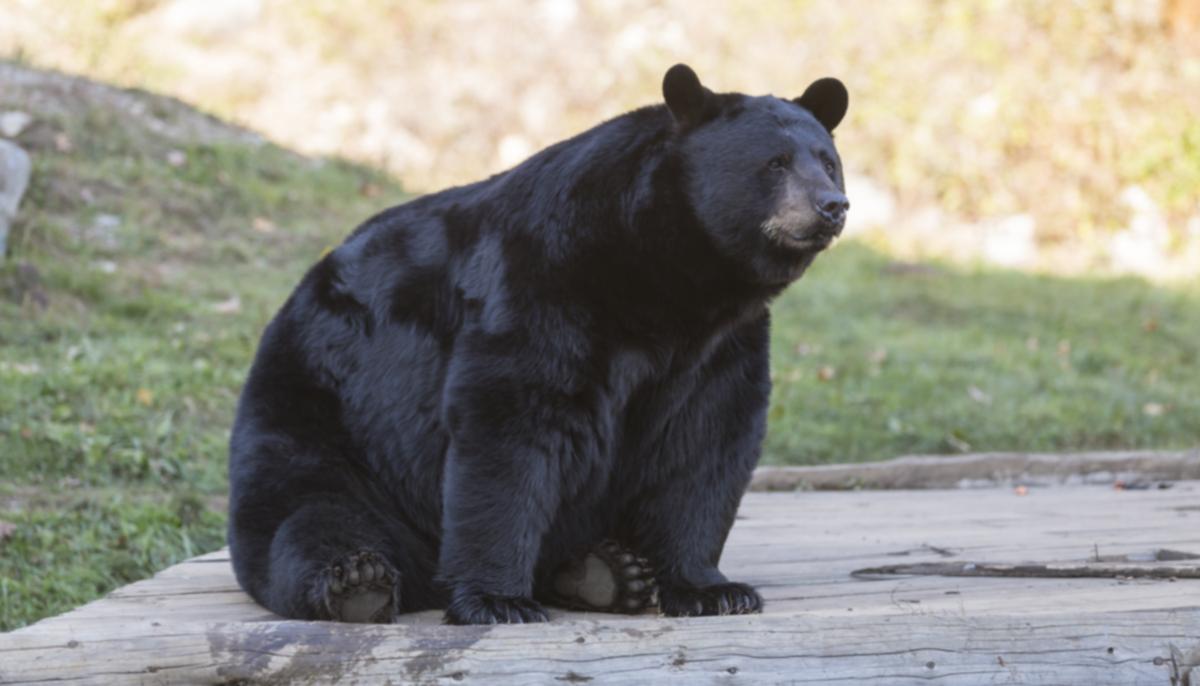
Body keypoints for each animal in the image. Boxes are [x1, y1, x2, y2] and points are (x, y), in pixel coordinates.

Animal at [227, 63, 849, 625]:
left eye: (828, 161)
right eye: (774, 163)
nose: (832, 206)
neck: (667, 278)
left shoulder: (720, 345)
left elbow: (706, 442)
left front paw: (712, 589)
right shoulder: (542, 280)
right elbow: (511, 424)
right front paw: (497, 600)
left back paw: (607, 572)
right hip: (327, 418)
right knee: (309, 514)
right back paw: (358, 582)